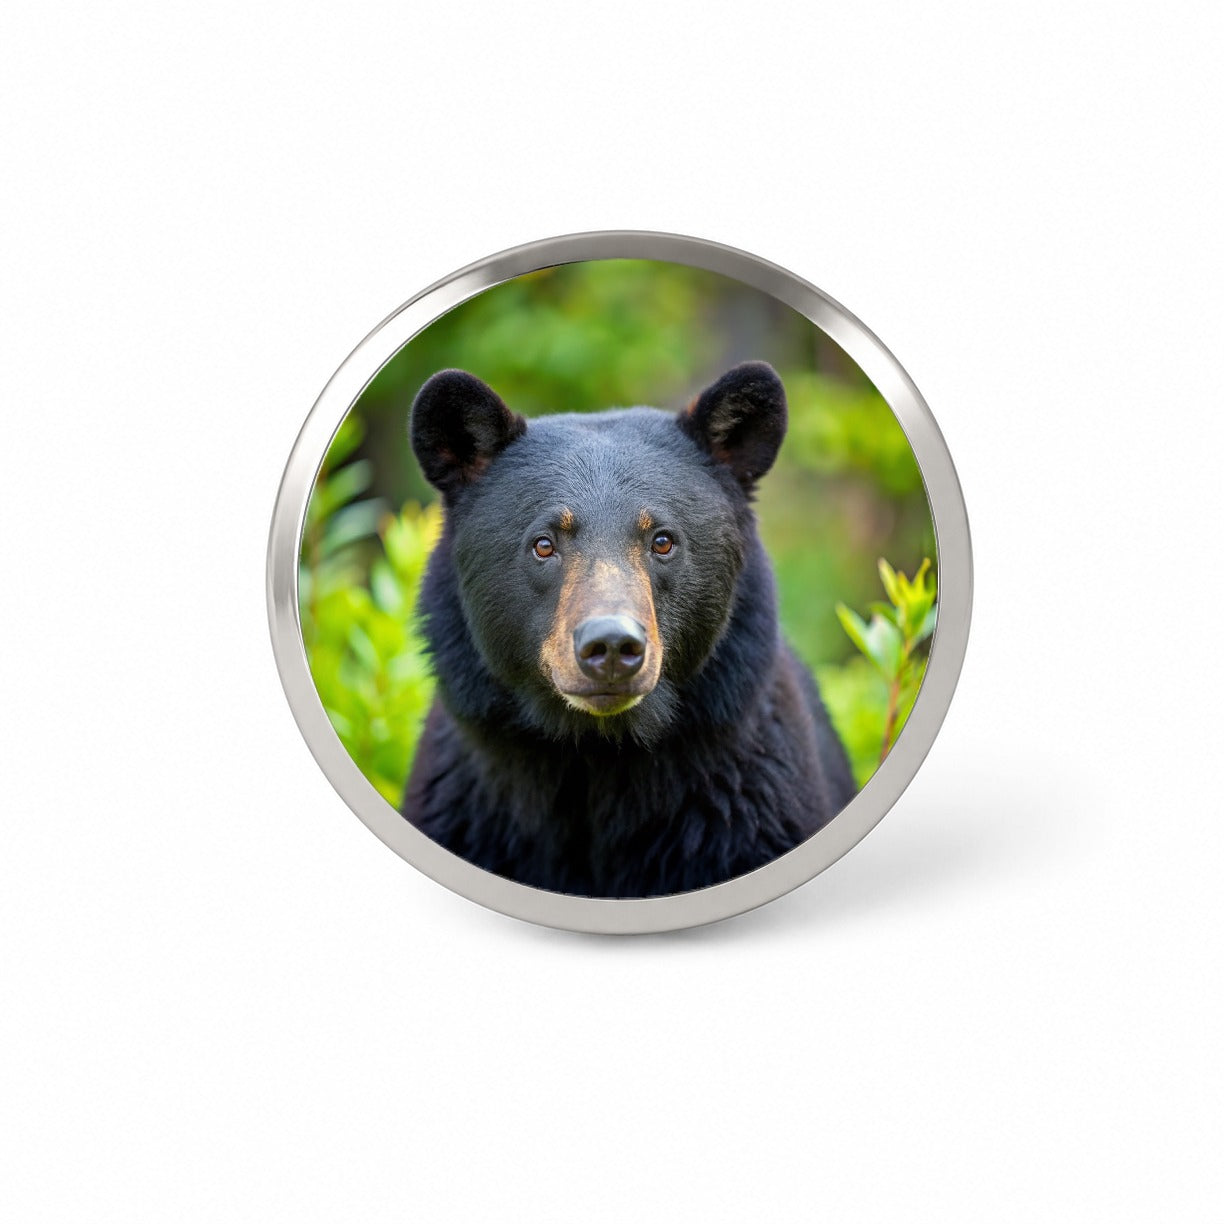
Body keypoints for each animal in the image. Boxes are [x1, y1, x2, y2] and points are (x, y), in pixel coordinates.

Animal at [400, 361, 857, 898]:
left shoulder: (748, 809)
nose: (612, 645)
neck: (600, 755)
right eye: (543, 544)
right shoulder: (470, 808)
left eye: (663, 541)